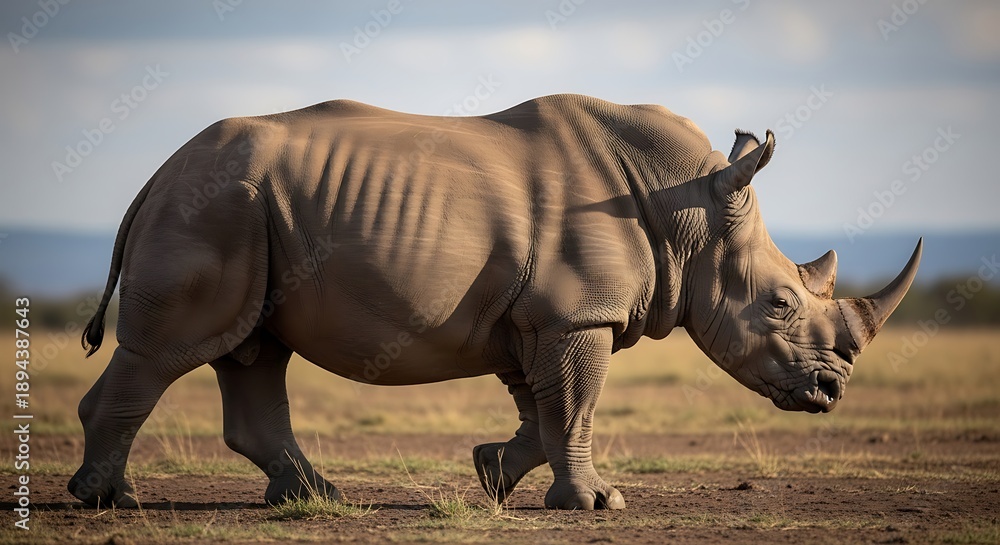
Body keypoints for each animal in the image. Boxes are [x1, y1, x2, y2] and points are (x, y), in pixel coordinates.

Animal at [70, 93, 921, 510]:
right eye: (778, 304)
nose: (831, 390)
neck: (690, 210)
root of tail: (157, 171)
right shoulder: (577, 313)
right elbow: (575, 405)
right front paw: (597, 503)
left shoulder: (536, 316)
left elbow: (545, 412)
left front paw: (491, 475)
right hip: (213, 206)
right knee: (168, 350)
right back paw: (109, 500)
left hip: (245, 211)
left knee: (254, 350)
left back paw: (315, 496)